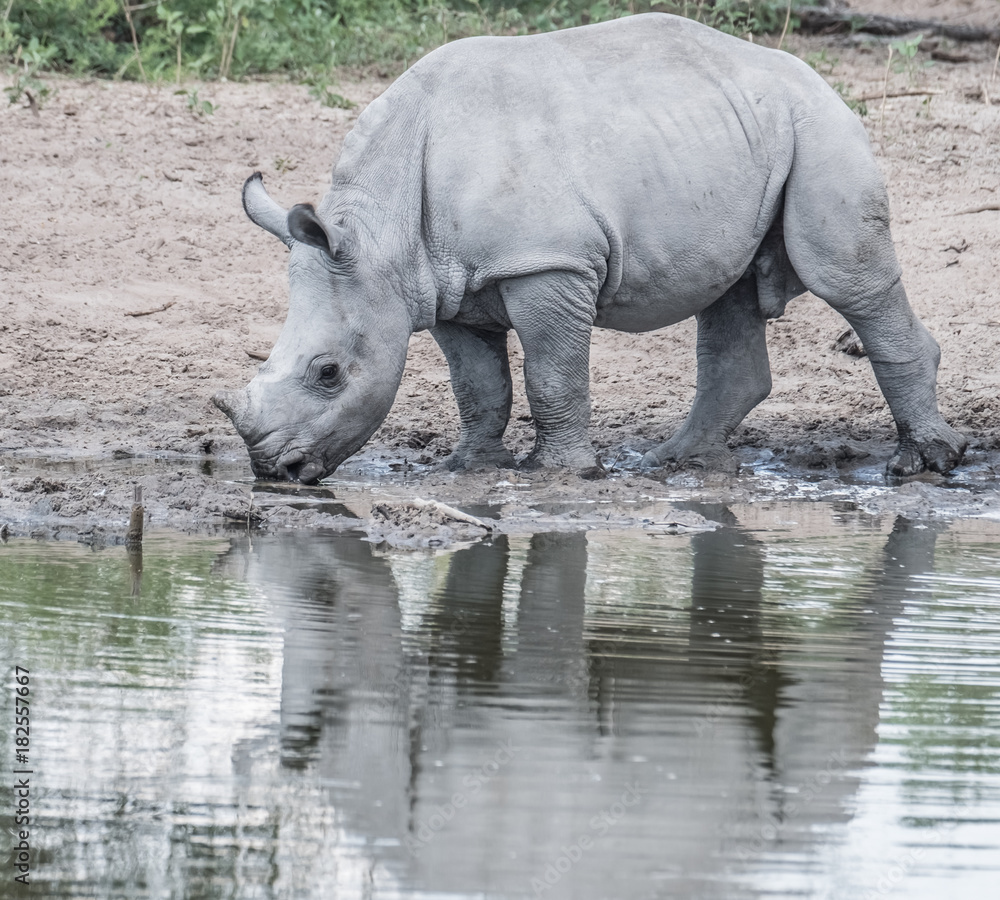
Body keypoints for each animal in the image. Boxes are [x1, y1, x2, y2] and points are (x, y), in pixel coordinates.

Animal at [213, 12, 967, 484]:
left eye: (328, 374)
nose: (274, 472)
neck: (380, 230)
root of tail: (818, 77)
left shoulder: (549, 263)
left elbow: (552, 373)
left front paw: (560, 473)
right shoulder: (441, 284)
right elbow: (479, 385)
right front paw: (469, 466)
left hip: (823, 129)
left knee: (844, 278)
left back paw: (923, 465)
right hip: (738, 133)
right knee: (727, 293)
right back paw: (678, 462)